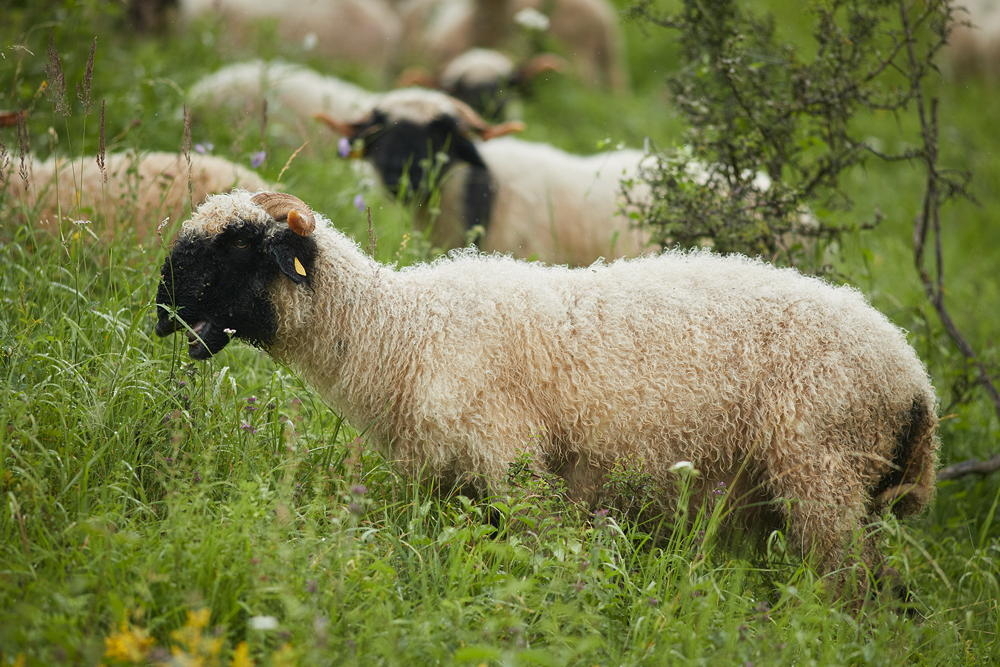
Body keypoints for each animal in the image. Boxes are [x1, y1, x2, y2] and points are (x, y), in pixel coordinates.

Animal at [154, 188, 939, 589]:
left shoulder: (515, 464)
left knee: (853, 590)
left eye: (236, 244)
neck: (400, 331)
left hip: (822, 471)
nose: (159, 311)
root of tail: (914, 376)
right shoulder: (446, 484)